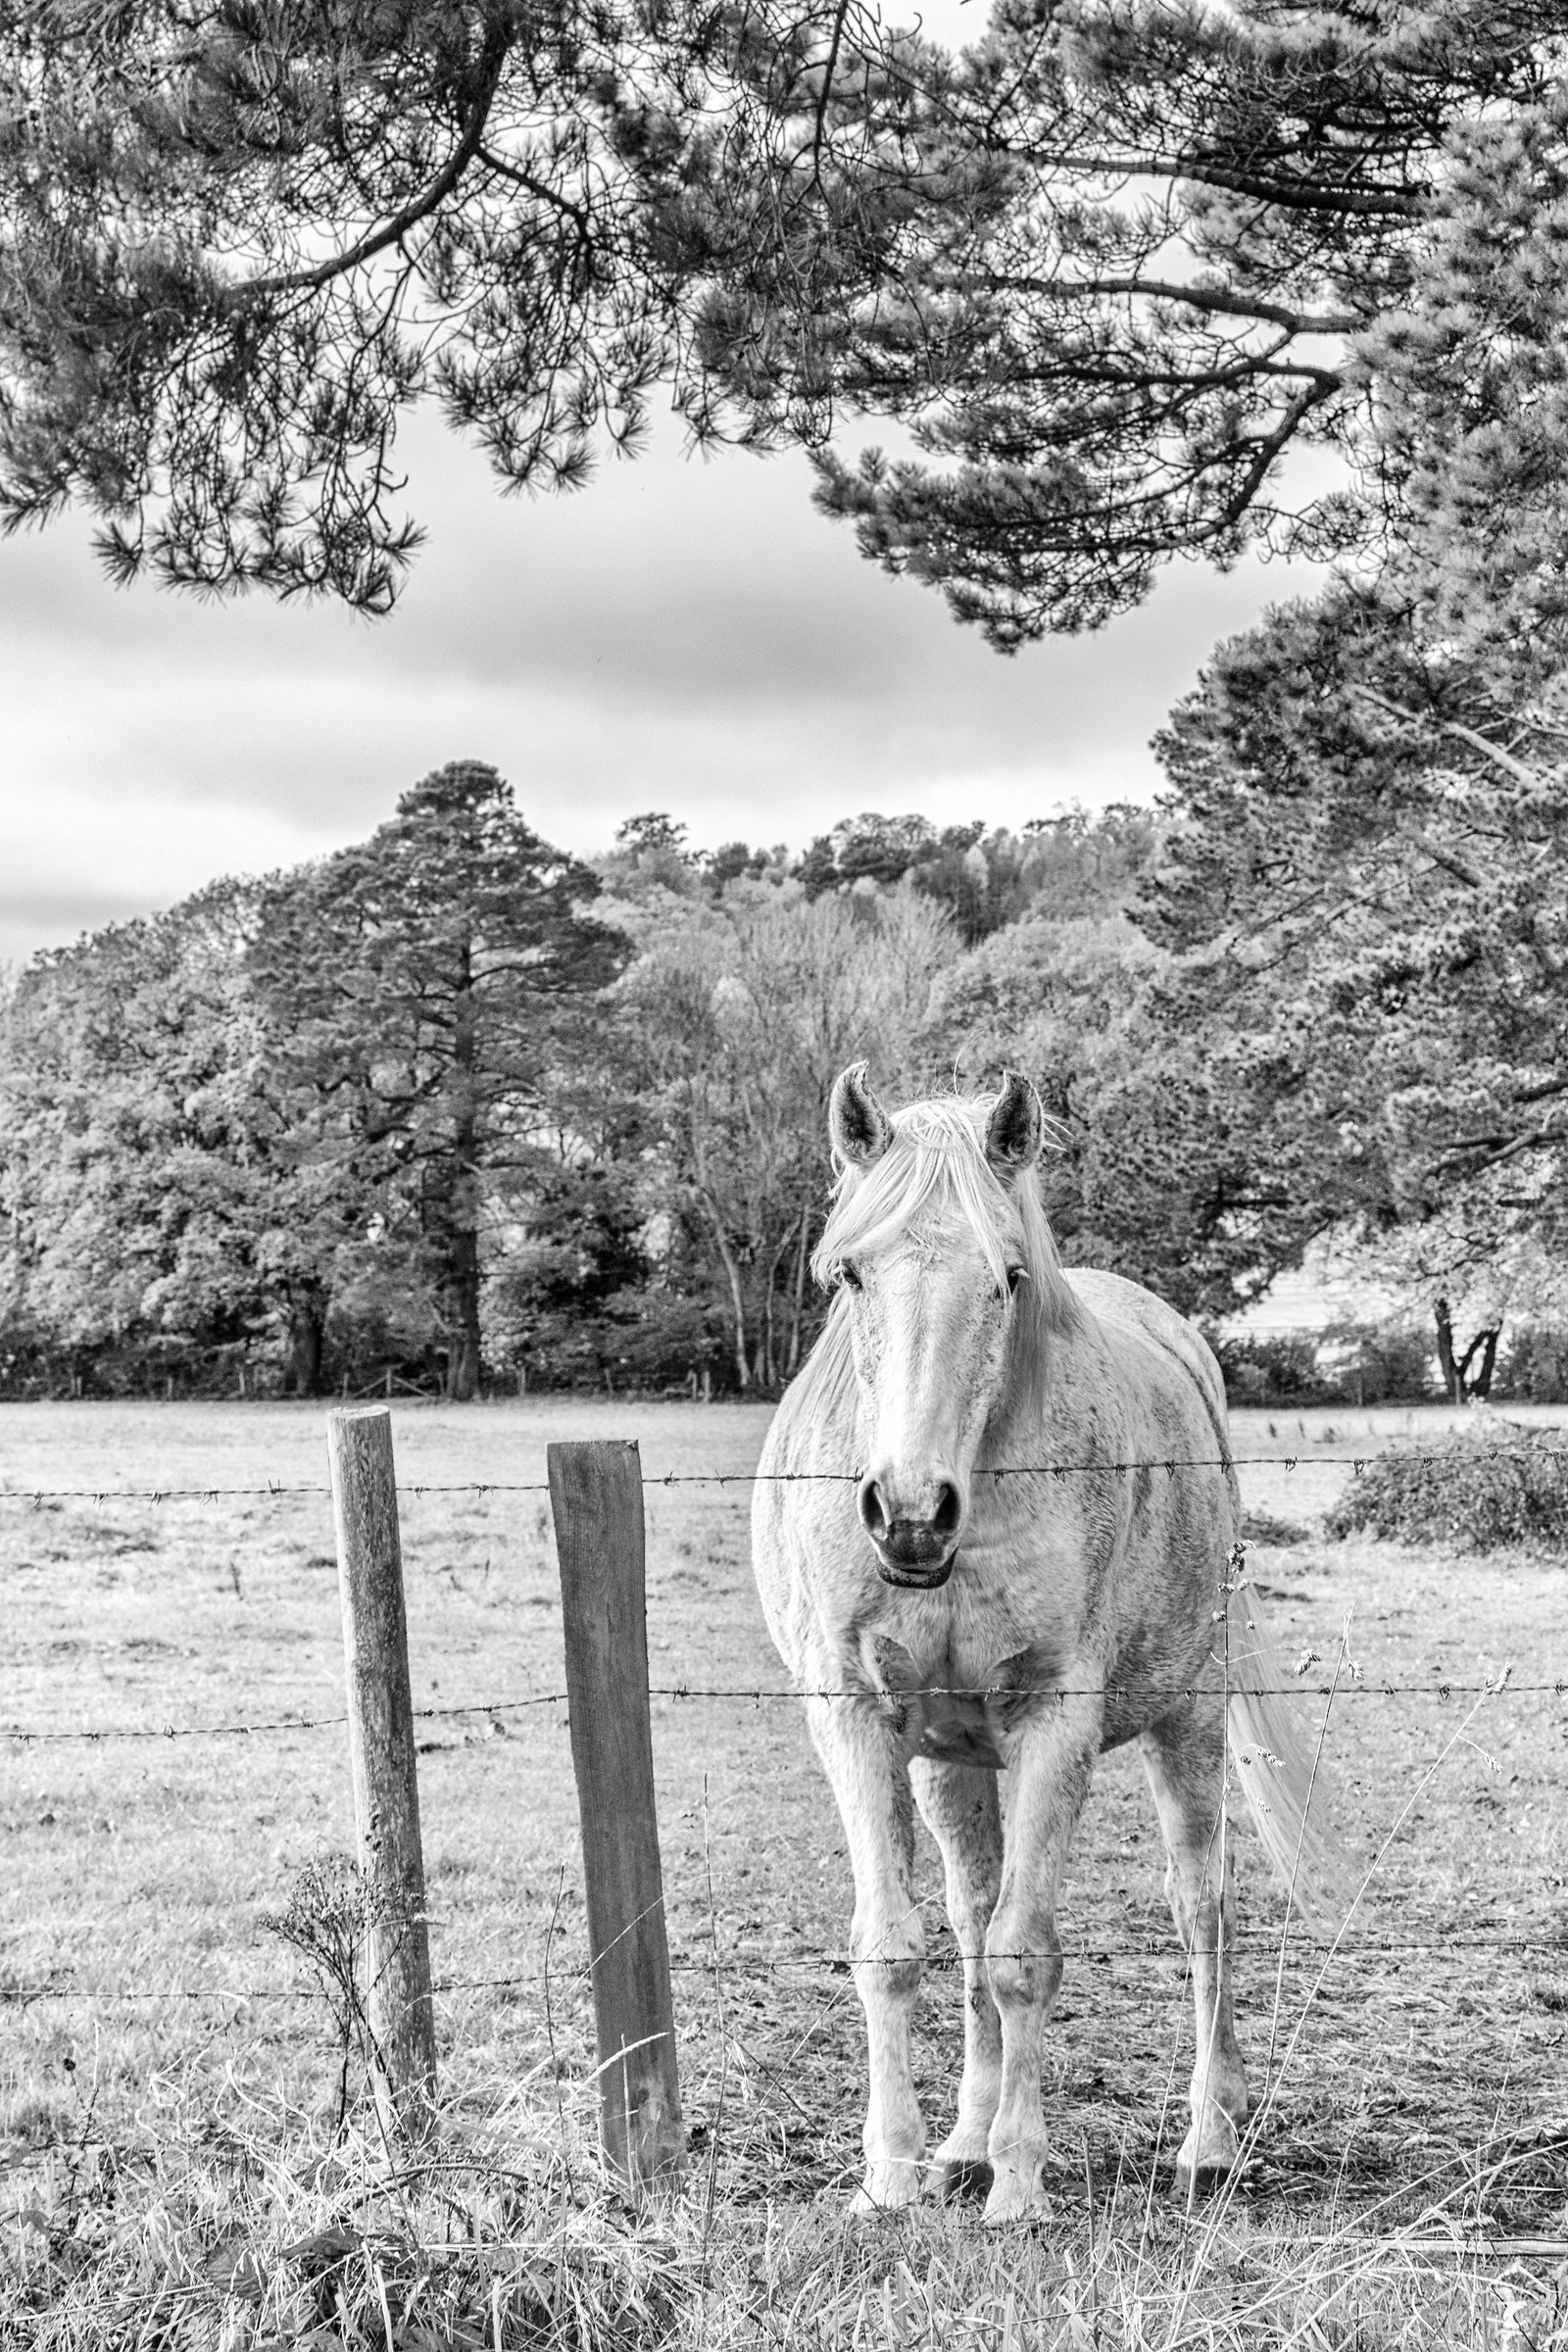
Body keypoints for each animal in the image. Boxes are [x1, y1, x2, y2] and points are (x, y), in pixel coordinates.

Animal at [750, 1065, 1348, 2225]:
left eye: (1009, 1277)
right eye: (847, 1274)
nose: (909, 1515)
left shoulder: (1053, 1720)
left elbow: (1025, 1954)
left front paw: (1021, 2185)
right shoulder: (857, 1717)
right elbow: (898, 1948)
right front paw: (892, 2176)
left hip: (1187, 1723)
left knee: (1200, 1908)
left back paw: (1210, 2136)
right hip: (950, 1762)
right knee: (970, 1917)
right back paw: (962, 2142)